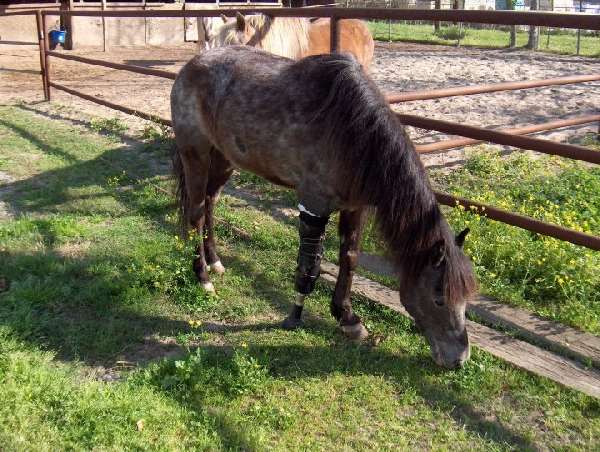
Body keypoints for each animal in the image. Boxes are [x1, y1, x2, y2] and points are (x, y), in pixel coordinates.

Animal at [170, 46, 478, 370]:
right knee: (195, 213)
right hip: (195, 154)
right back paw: (203, 277)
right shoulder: (313, 205)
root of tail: (191, 65)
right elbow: (309, 267)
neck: (351, 132)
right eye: (438, 298)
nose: (459, 359)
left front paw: (347, 318)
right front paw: (294, 317)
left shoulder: (355, 208)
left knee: (210, 204)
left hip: (224, 159)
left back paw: (215, 262)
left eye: (466, 298)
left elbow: (349, 258)